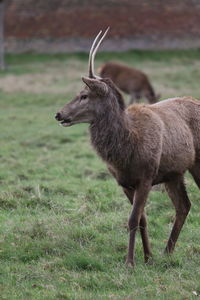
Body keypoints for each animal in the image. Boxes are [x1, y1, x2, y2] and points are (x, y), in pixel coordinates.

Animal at [55, 28, 200, 268]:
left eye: (84, 95)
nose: (59, 114)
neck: (126, 151)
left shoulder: (146, 177)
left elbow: (133, 219)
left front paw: (130, 262)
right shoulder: (124, 182)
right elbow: (142, 219)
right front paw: (148, 257)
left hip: (195, 164)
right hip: (174, 173)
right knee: (184, 206)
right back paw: (167, 252)